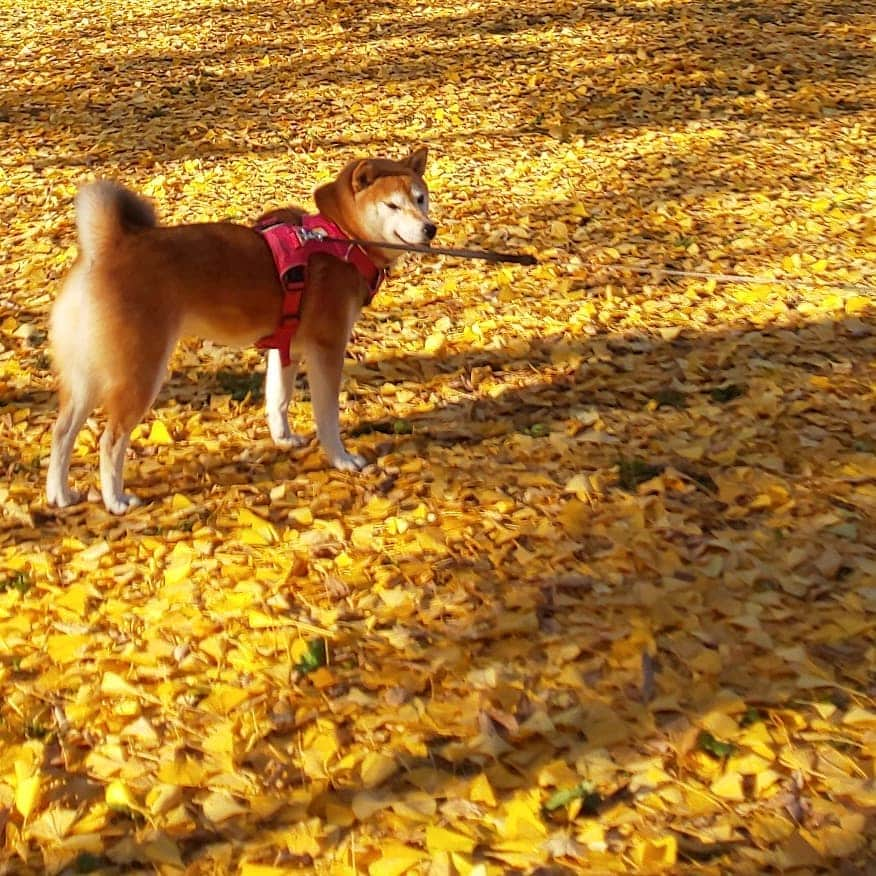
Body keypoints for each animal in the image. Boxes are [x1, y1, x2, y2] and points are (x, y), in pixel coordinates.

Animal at [44, 145, 434, 512]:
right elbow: (327, 416)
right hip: (138, 373)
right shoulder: (327, 348)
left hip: (87, 376)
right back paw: (115, 501)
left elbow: (278, 399)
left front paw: (283, 439)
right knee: (110, 441)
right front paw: (341, 459)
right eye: (392, 205)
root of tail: (108, 246)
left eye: (420, 198)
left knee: (62, 432)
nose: (430, 228)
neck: (340, 238)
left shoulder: (286, 347)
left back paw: (59, 494)